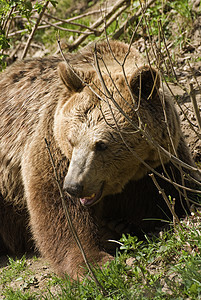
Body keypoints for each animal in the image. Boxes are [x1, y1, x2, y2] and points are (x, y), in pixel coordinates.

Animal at [0, 40, 199, 278]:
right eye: (71, 140)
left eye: (101, 144)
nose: (74, 186)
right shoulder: (51, 144)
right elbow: (60, 210)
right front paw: (94, 261)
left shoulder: (162, 161)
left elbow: (180, 191)